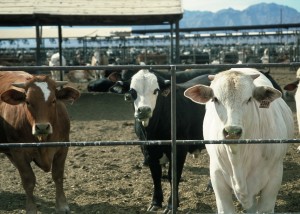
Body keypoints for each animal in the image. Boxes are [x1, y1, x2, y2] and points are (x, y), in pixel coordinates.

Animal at [0, 71, 79, 213]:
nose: (42, 127)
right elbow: (28, 180)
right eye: (27, 101)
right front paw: (31, 208)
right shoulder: (17, 151)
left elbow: (58, 176)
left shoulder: (62, 147)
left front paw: (62, 205)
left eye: (53, 100)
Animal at [109, 70, 211, 212]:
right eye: (132, 91)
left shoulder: (179, 149)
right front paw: (156, 202)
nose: (144, 110)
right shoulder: (147, 149)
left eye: (156, 90)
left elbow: (173, 175)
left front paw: (171, 204)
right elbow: (155, 175)